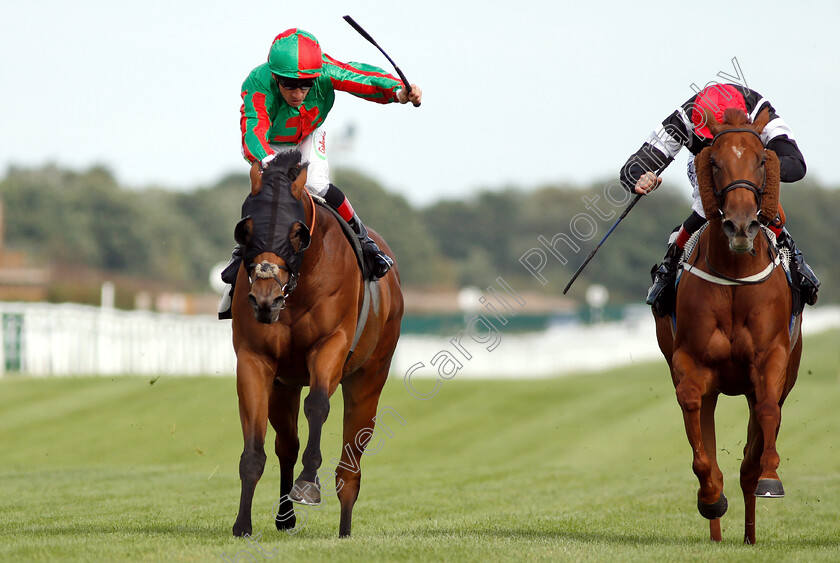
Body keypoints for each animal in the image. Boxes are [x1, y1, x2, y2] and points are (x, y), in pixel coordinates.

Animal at [228, 149, 402, 536]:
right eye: (245, 230)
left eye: (297, 232)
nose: (265, 300)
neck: (297, 289)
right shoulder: (255, 359)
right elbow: (254, 448)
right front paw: (243, 524)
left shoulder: (330, 345)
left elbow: (318, 405)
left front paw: (308, 483)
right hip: (284, 385)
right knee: (286, 444)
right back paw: (284, 517)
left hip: (369, 377)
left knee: (351, 461)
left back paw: (344, 529)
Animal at [652, 108, 804, 544]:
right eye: (715, 162)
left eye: (761, 160)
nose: (740, 225)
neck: (735, 275)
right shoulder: (691, 363)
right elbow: (693, 418)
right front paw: (710, 497)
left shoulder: (771, 359)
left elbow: (768, 411)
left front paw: (770, 477)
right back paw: (718, 531)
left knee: (762, 434)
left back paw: (750, 532)